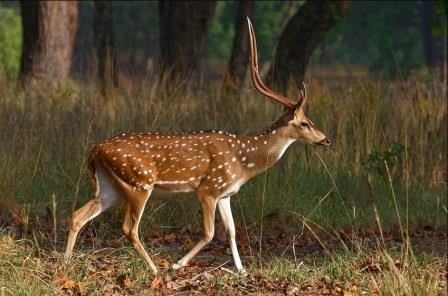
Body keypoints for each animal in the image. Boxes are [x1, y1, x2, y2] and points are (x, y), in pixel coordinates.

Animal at [64, 17, 328, 274]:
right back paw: (155, 269)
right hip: (139, 182)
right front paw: (177, 263)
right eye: (305, 123)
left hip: (111, 186)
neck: (244, 161)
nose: (326, 139)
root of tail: (95, 151)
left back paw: (66, 263)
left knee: (78, 215)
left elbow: (232, 231)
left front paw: (242, 270)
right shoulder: (208, 189)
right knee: (129, 227)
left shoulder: (225, 193)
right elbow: (210, 233)